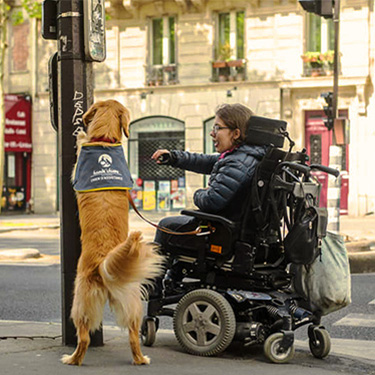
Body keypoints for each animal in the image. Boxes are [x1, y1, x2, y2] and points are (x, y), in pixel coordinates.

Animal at [61, 99, 163, 368]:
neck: (105, 140)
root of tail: (104, 263)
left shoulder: (76, 171)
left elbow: (80, 147)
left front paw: (81, 134)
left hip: (80, 302)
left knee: (84, 337)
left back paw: (72, 359)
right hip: (132, 302)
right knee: (134, 336)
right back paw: (141, 358)